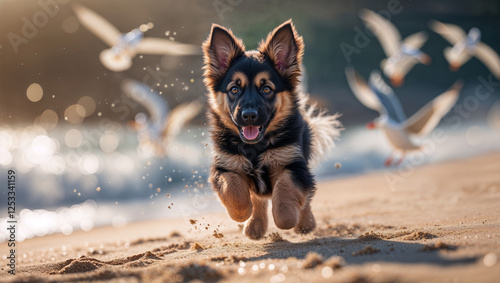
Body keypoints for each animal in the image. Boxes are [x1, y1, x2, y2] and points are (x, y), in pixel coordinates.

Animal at [201, 21, 342, 241]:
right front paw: (243, 214)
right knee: (257, 198)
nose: (249, 115)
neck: (255, 147)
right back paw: (254, 225)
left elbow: (285, 193)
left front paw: (289, 219)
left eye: (266, 89)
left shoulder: (293, 164)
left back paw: (305, 223)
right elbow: (234, 190)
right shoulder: (224, 166)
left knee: (307, 195)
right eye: (234, 89)